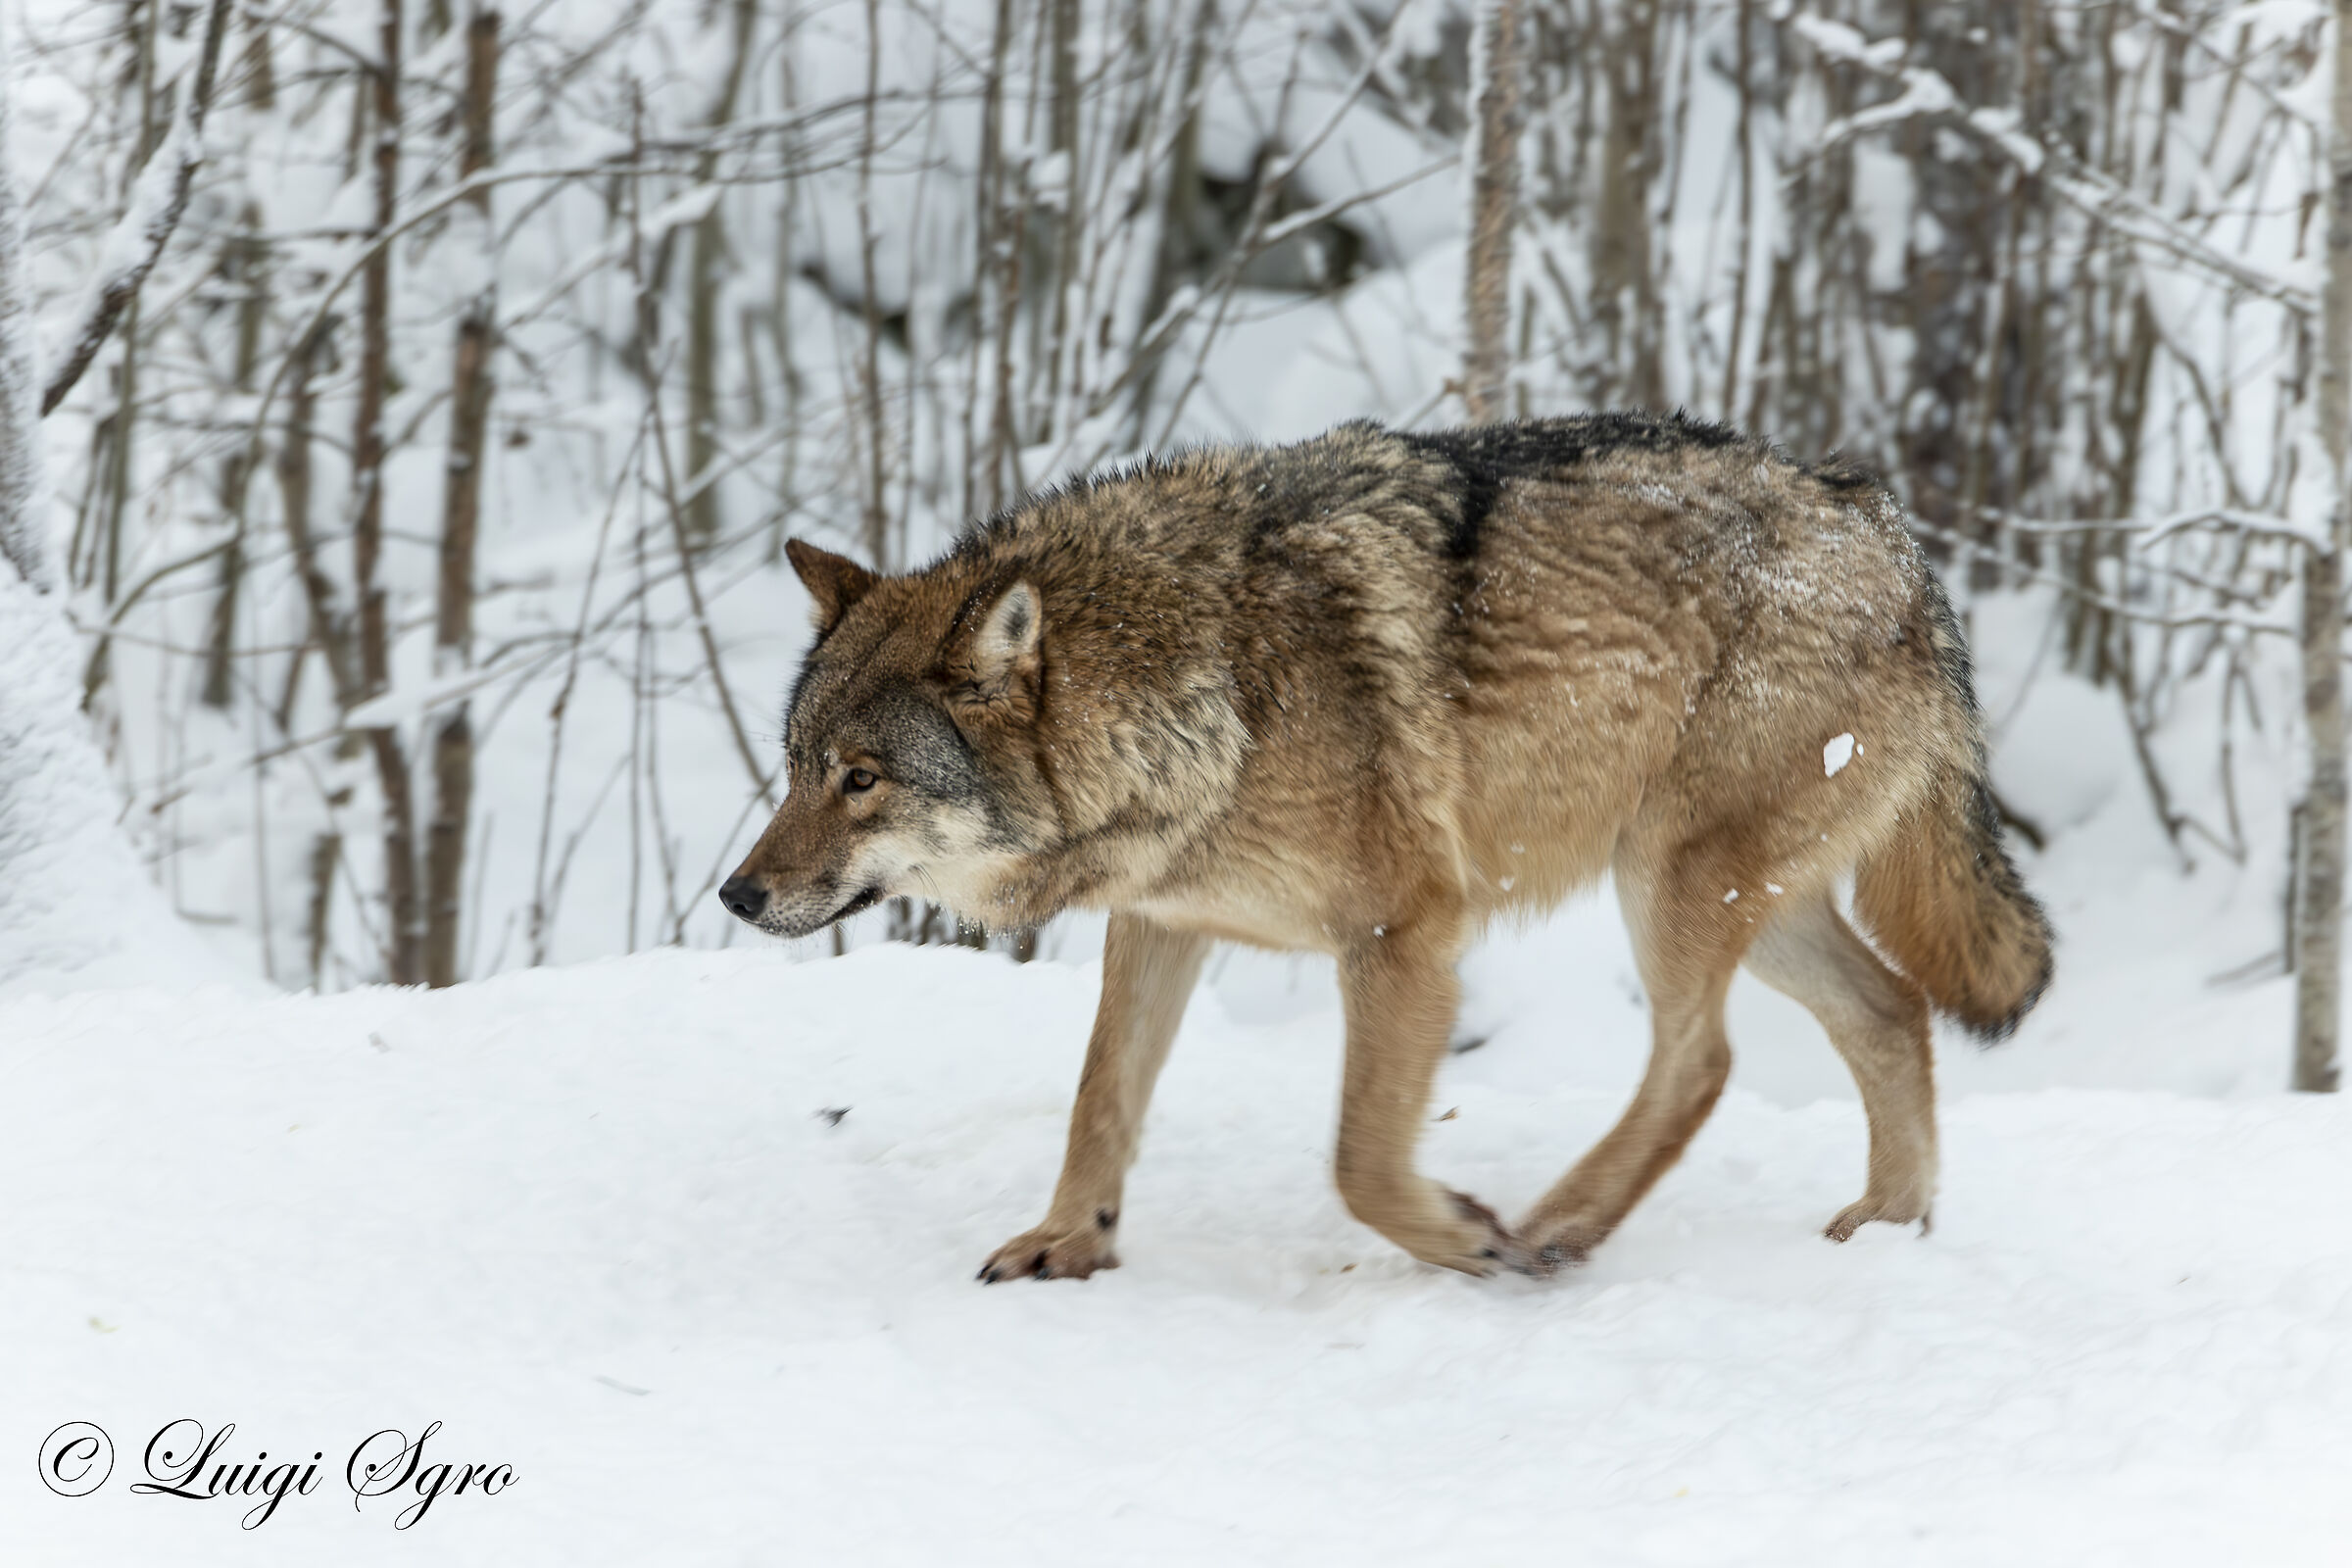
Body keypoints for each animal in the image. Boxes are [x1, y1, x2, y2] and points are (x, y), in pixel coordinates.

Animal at [720, 413, 2052, 1280]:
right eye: (793, 764)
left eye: (861, 779)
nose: (735, 894)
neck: (1207, 684)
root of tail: (1893, 536)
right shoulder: (1160, 922)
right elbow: (1101, 1098)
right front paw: (1069, 1240)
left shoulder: (1403, 935)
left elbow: (1360, 1161)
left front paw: (1460, 1237)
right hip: (1745, 900)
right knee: (1888, 1012)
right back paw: (1888, 1236)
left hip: (1673, 881)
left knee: (1704, 1061)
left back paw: (1558, 1227)